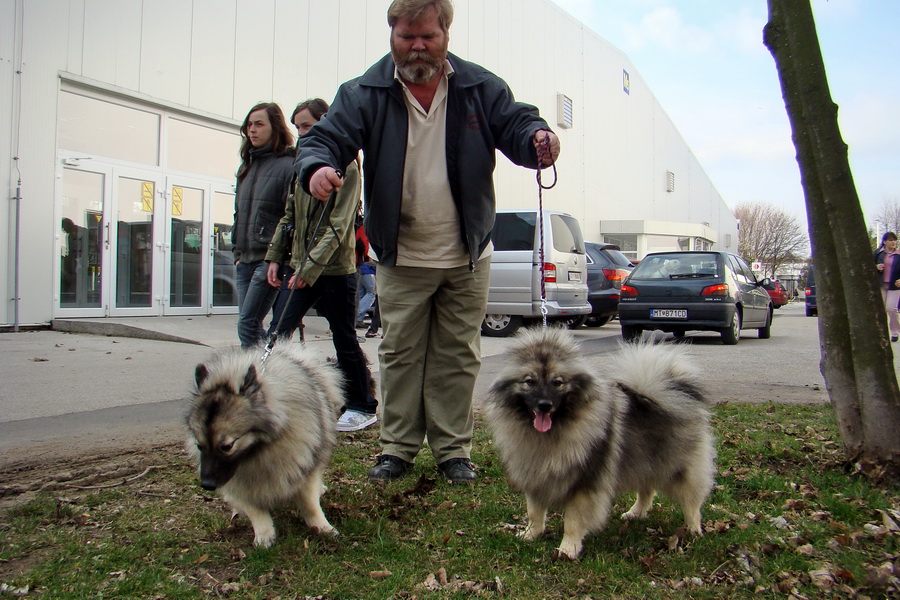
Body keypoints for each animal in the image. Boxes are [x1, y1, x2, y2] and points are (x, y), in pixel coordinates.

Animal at [186, 344, 344, 548]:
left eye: (227, 446)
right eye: (200, 445)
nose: (206, 484)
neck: (258, 451)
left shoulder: (303, 466)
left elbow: (309, 503)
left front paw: (322, 527)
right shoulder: (239, 483)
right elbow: (254, 509)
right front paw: (264, 534)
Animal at [486, 326, 716, 560]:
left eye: (557, 382)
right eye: (529, 382)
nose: (544, 405)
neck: (551, 433)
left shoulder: (584, 484)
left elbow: (573, 521)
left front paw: (567, 549)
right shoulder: (535, 477)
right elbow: (534, 512)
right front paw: (531, 534)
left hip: (681, 469)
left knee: (691, 501)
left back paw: (693, 530)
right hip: (645, 460)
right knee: (647, 490)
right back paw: (636, 513)